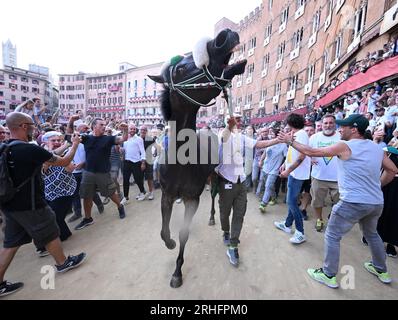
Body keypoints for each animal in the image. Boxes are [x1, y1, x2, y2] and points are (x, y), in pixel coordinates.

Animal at [149, 28, 247, 288]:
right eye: (180, 69)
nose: (225, 35)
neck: (180, 162)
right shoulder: (167, 194)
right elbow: (164, 232)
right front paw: (170, 243)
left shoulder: (193, 197)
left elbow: (183, 233)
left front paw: (177, 271)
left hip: (213, 177)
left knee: (214, 198)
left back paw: (213, 218)